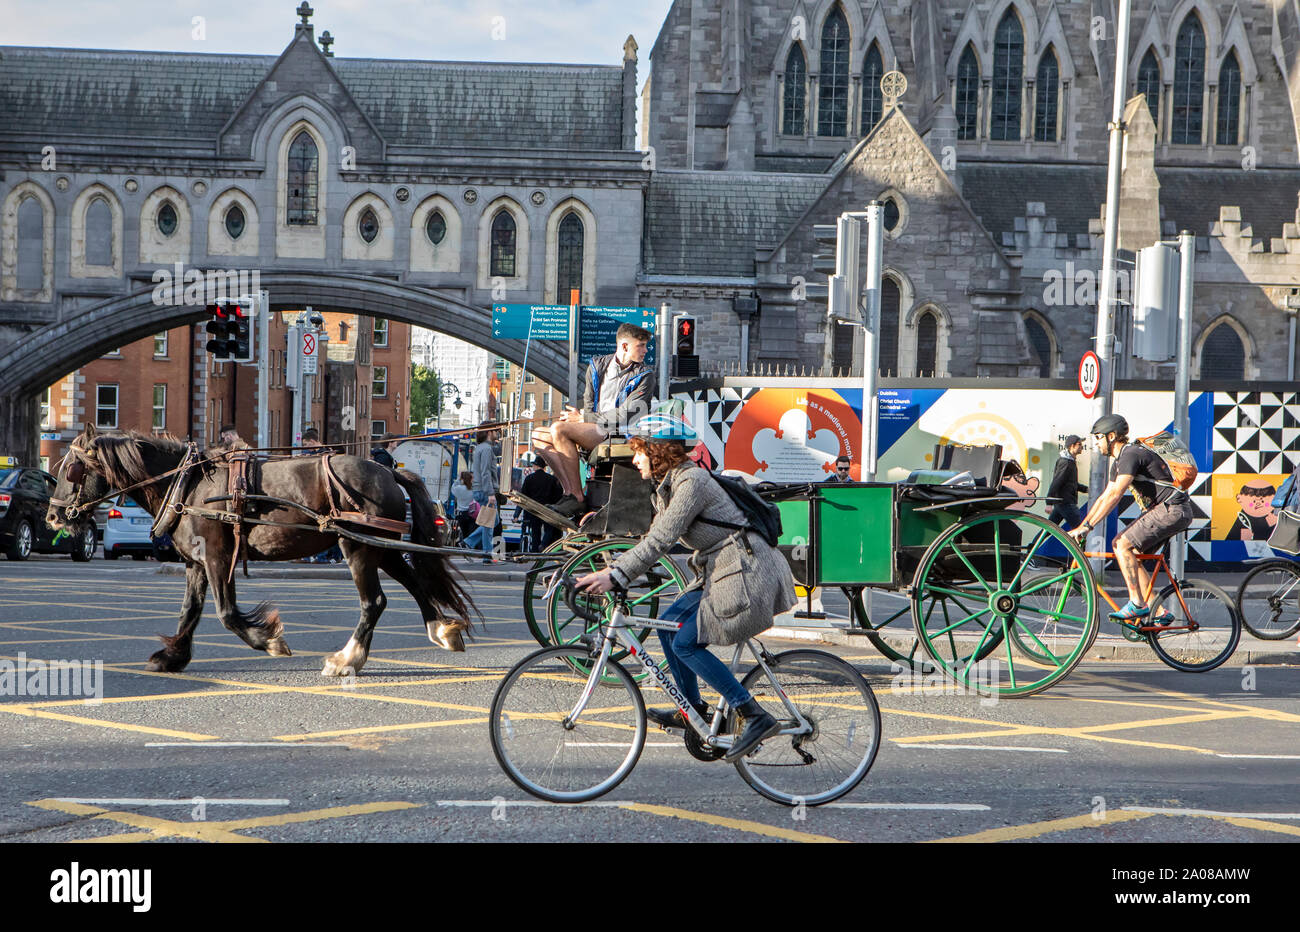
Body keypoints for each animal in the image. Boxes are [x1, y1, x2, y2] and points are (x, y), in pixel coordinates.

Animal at [49, 423, 483, 675]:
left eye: (72, 469)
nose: (53, 515)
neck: (189, 485)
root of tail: (389, 471)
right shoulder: (196, 563)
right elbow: (190, 611)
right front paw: (173, 656)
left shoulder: (218, 557)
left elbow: (226, 614)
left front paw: (269, 641)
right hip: (382, 547)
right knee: (416, 584)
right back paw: (441, 629)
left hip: (357, 547)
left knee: (374, 602)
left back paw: (347, 659)